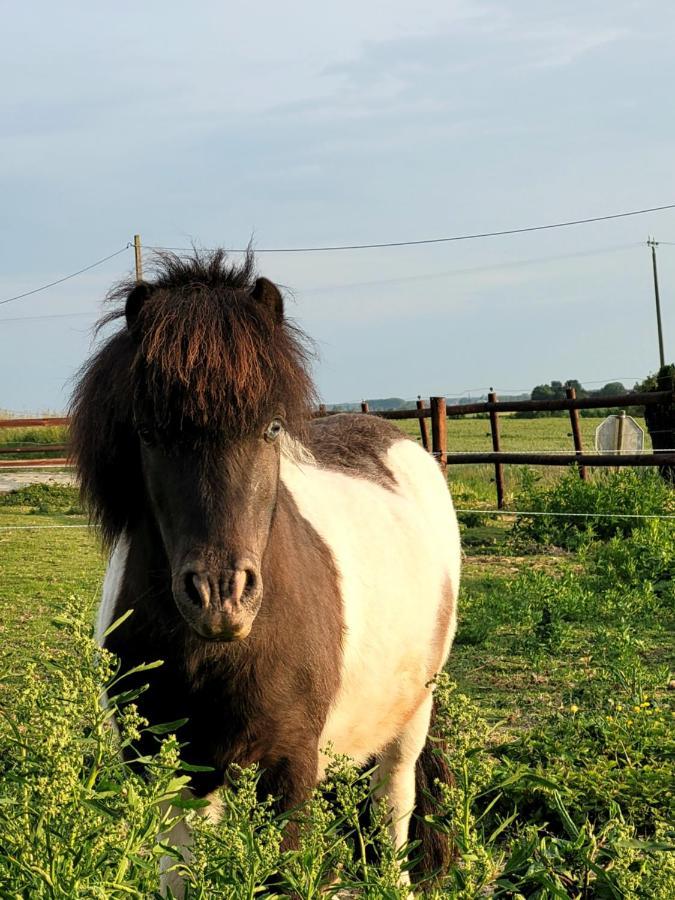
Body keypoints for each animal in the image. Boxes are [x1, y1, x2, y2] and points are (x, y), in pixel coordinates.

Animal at [68, 250, 462, 896]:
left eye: (272, 427)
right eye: (148, 432)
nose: (220, 598)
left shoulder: (287, 770)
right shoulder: (165, 771)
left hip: (413, 712)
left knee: (392, 805)